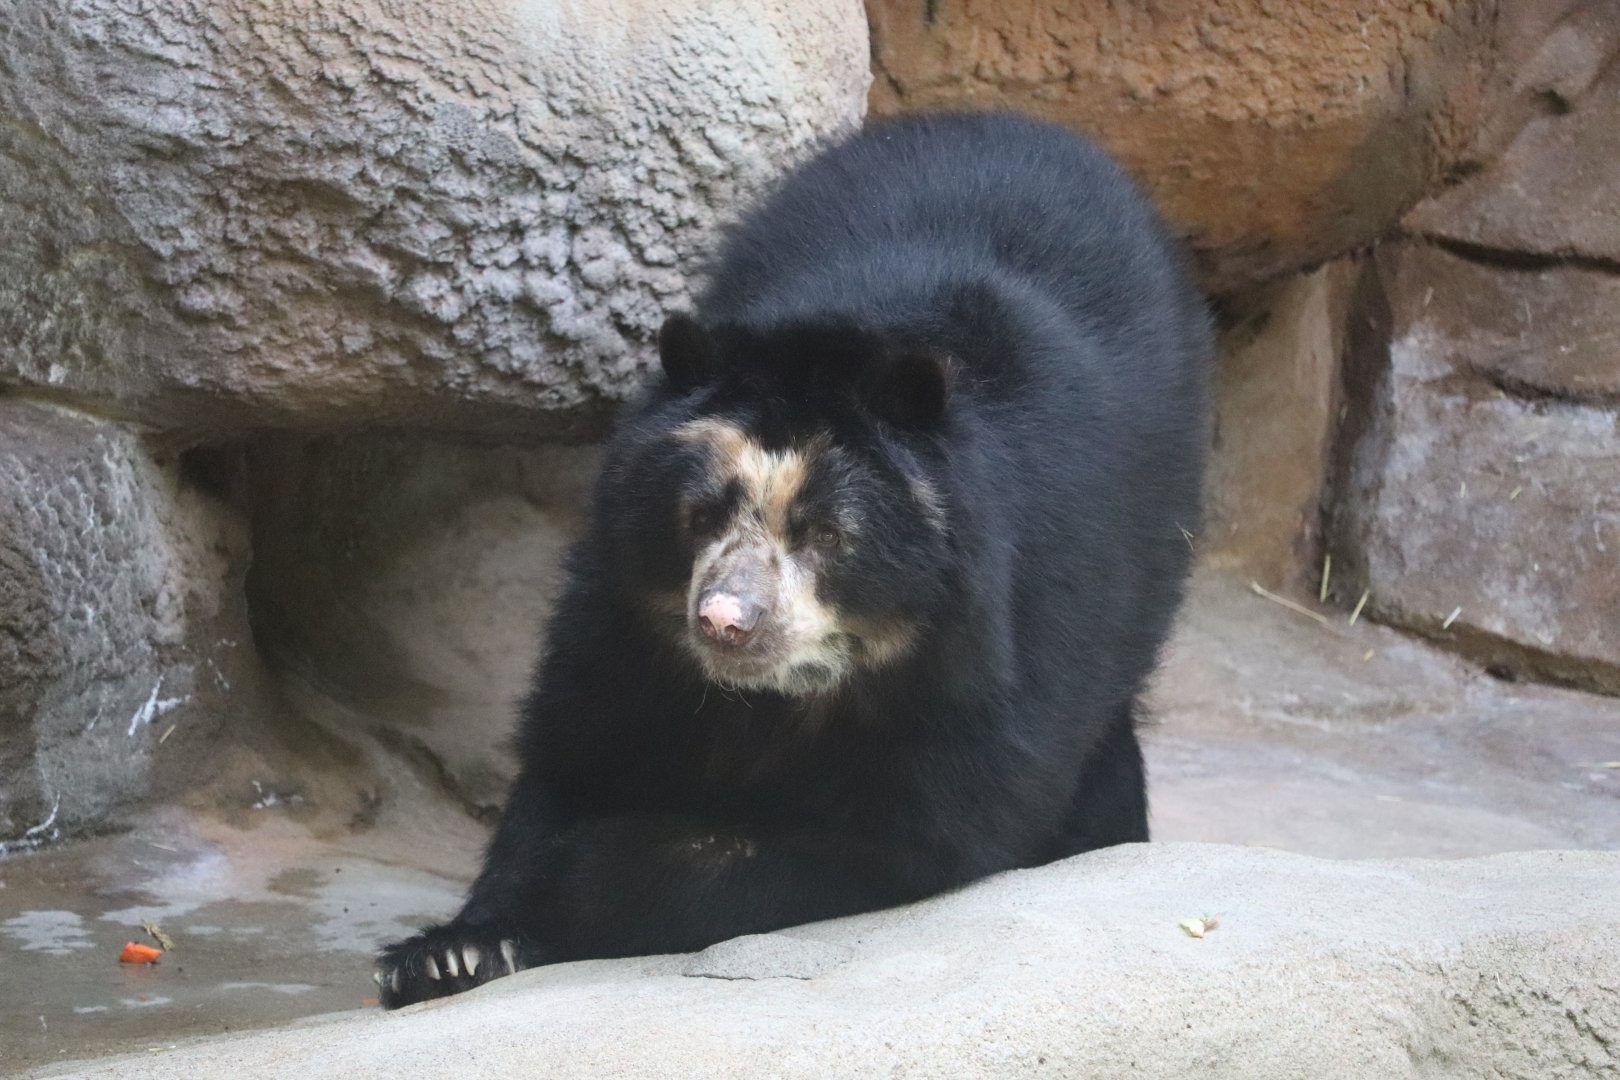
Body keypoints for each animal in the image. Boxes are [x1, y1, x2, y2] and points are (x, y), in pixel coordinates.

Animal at [375, 110, 1210, 1008]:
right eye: (700, 514)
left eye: (827, 534)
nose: (723, 622)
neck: (784, 696)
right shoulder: (620, 616)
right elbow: (581, 745)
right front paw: (453, 948)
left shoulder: (1013, 629)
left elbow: (910, 833)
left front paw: (592, 883)